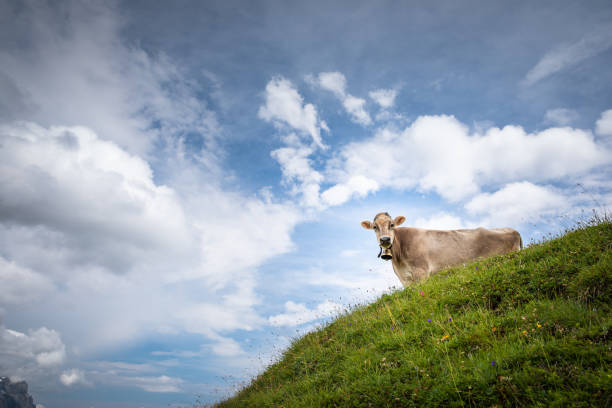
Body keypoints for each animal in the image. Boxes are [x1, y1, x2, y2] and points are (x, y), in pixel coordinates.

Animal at [360, 214, 524, 286]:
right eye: (375, 227)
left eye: (392, 225)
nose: (385, 240)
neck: (399, 259)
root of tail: (514, 231)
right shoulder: (404, 279)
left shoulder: (422, 273)